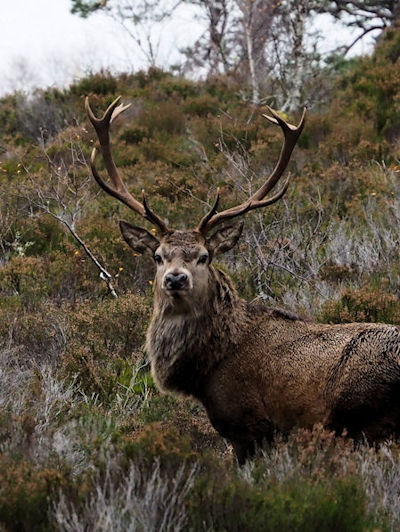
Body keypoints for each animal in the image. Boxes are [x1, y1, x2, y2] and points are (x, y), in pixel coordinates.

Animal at [85, 97, 400, 464]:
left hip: (361, 416)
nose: (176, 279)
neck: (208, 368)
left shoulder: (248, 423)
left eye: (204, 256)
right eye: (158, 256)